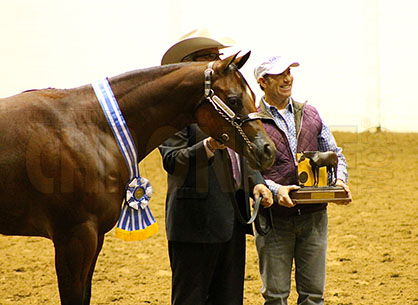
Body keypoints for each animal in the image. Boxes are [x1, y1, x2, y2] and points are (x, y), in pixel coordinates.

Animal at [0, 52, 274, 304]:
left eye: (252, 96)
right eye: (234, 99)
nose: (268, 150)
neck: (89, 127)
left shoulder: (94, 237)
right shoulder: (74, 238)